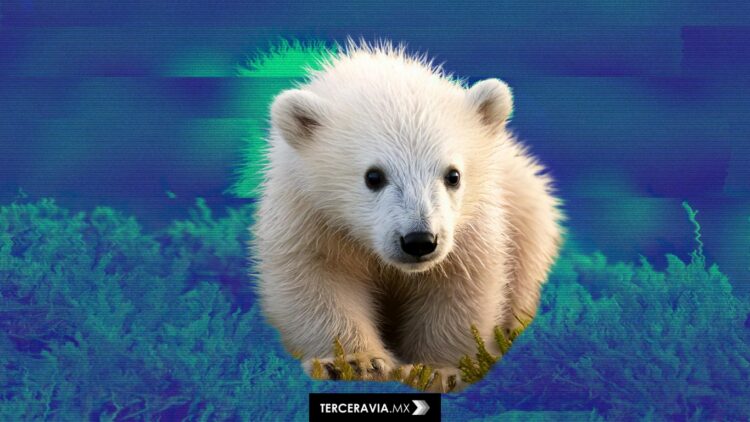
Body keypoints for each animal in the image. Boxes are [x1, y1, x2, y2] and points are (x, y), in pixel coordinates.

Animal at [252, 40, 563, 390]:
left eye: (453, 175)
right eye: (373, 176)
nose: (419, 240)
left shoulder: (472, 228)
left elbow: (459, 288)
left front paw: (434, 371)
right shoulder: (309, 215)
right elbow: (316, 281)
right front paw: (355, 363)